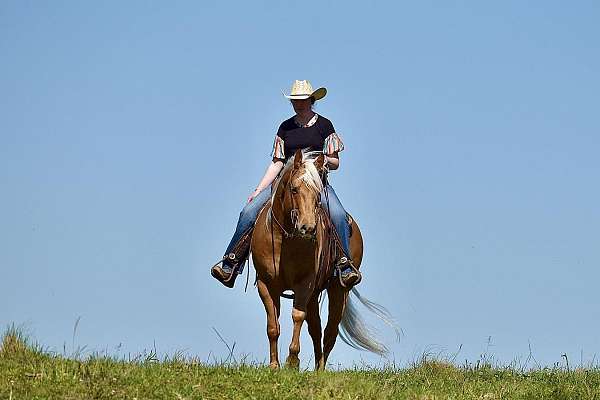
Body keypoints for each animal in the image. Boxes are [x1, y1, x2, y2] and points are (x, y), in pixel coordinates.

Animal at [248, 148, 394, 370]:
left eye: (318, 193)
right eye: (294, 189)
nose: (308, 228)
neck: (285, 240)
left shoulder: (305, 284)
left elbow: (297, 316)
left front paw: (292, 361)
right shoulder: (267, 284)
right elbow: (273, 326)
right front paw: (274, 365)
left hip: (338, 290)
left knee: (330, 331)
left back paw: (321, 369)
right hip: (314, 294)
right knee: (316, 330)